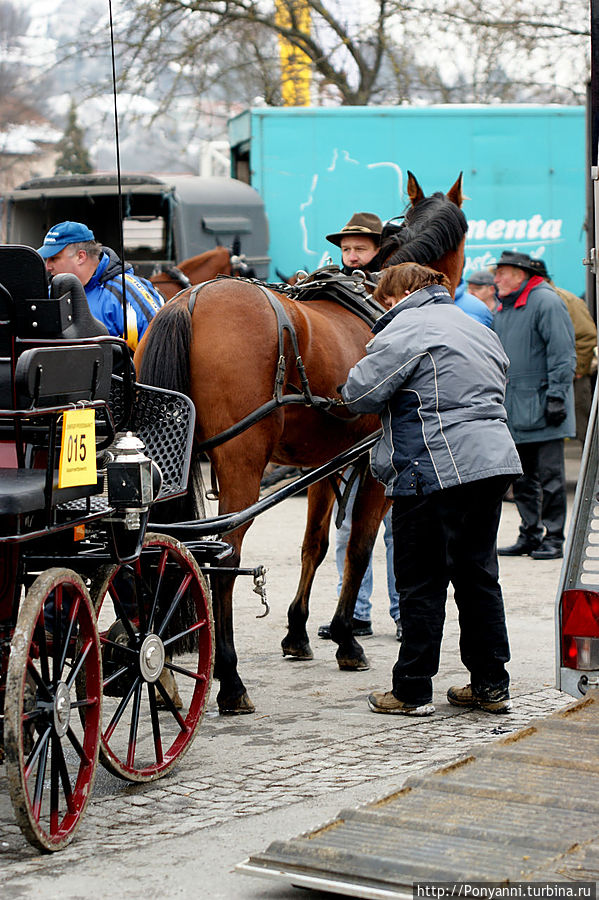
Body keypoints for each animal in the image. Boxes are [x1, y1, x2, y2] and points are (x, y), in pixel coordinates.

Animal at [136, 172, 468, 712]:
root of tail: (191, 301)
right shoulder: (376, 469)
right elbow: (359, 548)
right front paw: (346, 638)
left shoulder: (322, 464)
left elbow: (315, 543)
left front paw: (299, 632)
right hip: (241, 463)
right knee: (223, 559)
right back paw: (229, 680)